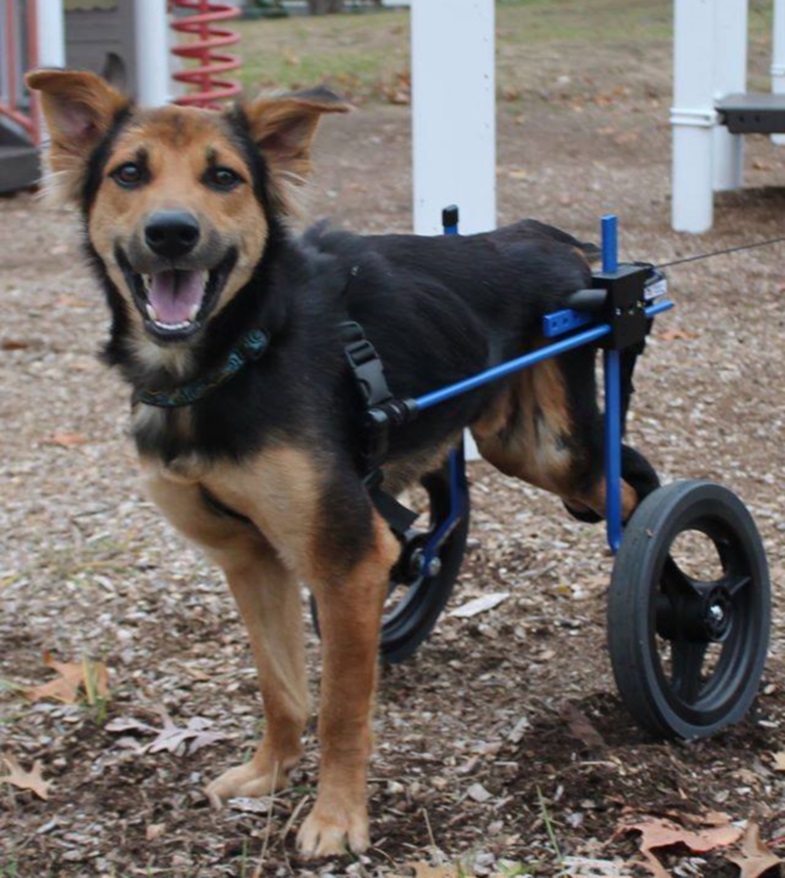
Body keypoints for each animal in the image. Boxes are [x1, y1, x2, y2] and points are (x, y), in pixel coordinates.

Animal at [27, 69, 660, 860]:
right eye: (129, 173)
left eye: (224, 177)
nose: (171, 232)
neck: (237, 356)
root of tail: (546, 238)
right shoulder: (252, 559)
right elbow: (281, 688)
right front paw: (268, 773)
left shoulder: (347, 562)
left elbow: (339, 710)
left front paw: (334, 817)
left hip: (553, 450)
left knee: (636, 496)